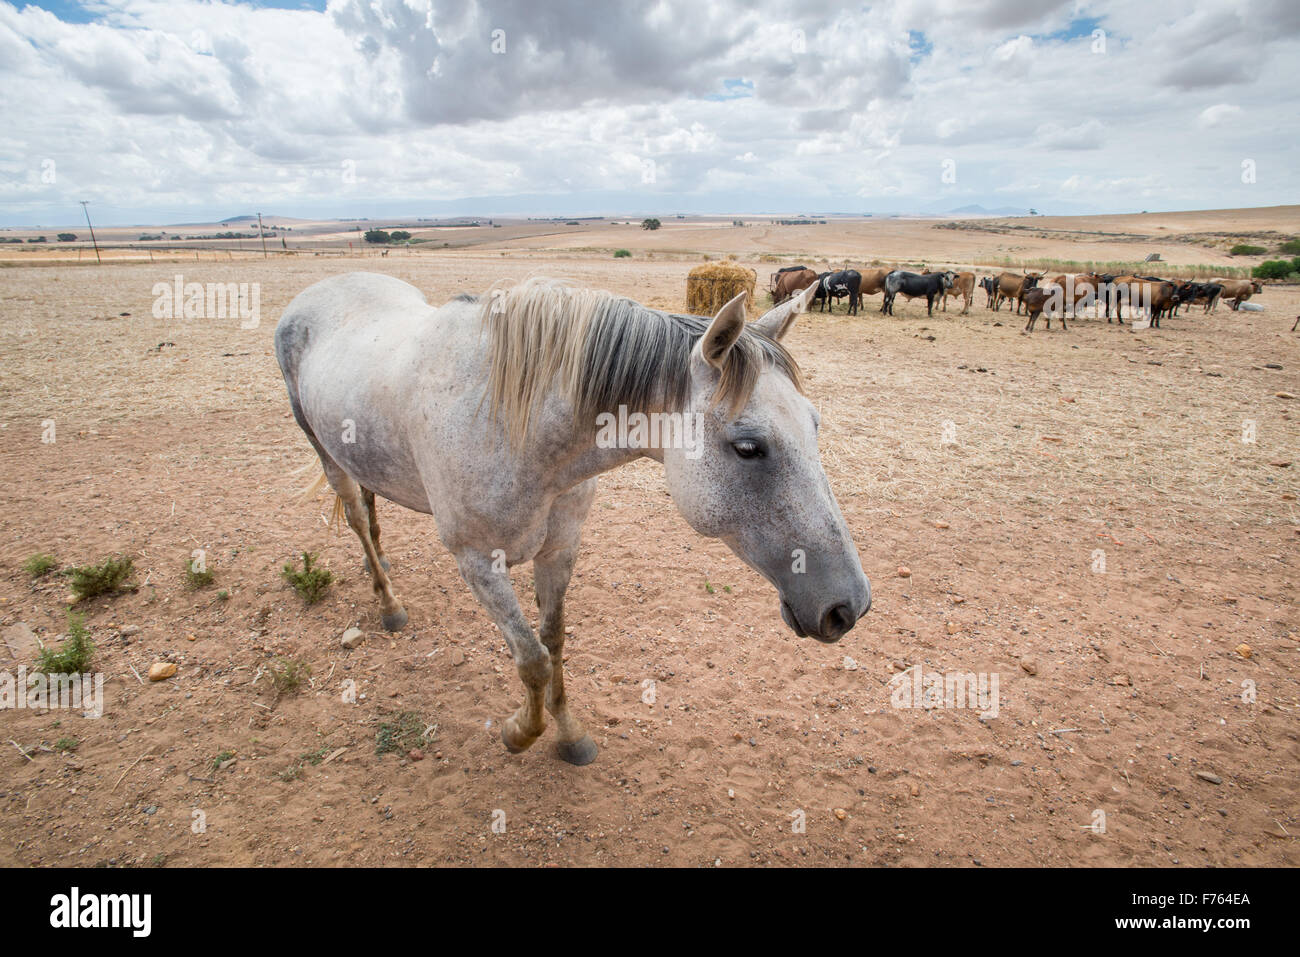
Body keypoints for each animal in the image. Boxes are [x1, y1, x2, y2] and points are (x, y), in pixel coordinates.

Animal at [274, 274, 868, 764]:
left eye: (815, 424)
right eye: (748, 447)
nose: (850, 606)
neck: (512, 424)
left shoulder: (560, 550)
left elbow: (554, 642)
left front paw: (568, 736)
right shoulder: (477, 564)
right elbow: (531, 659)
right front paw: (520, 733)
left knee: (371, 511)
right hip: (325, 454)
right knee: (357, 518)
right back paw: (388, 603)